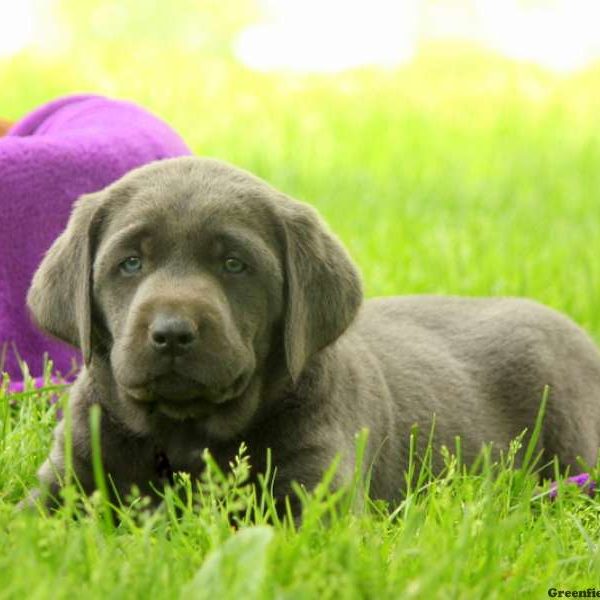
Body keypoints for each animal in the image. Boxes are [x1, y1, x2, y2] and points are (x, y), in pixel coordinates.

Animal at [27, 156, 600, 510]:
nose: (171, 333)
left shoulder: (313, 496)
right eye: (130, 263)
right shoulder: (67, 478)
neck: (185, 433)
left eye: (234, 265)